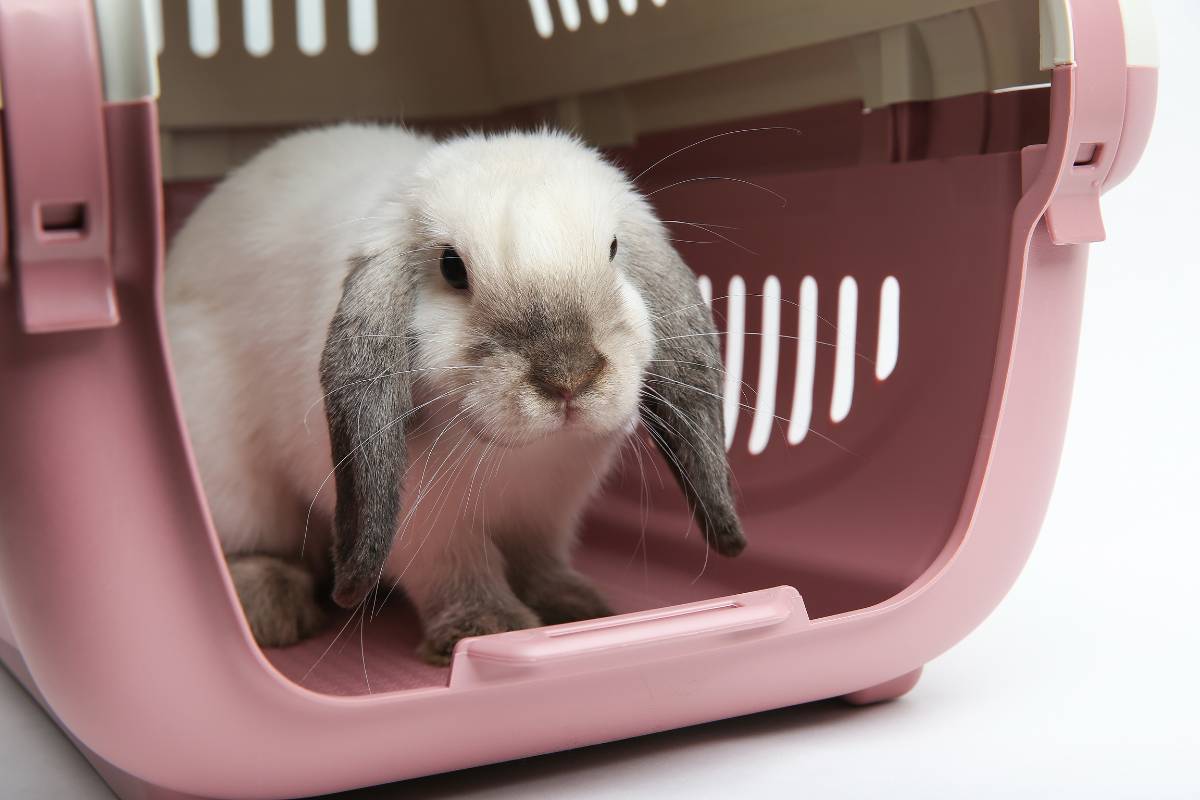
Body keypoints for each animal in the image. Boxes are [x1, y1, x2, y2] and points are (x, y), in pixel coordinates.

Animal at [165, 124, 745, 665]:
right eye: (451, 268)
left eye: (614, 249)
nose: (569, 377)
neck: (524, 457)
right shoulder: (426, 528)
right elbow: (459, 569)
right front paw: (489, 627)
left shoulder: (548, 513)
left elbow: (538, 559)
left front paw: (574, 607)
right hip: (235, 486)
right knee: (248, 545)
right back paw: (274, 604)